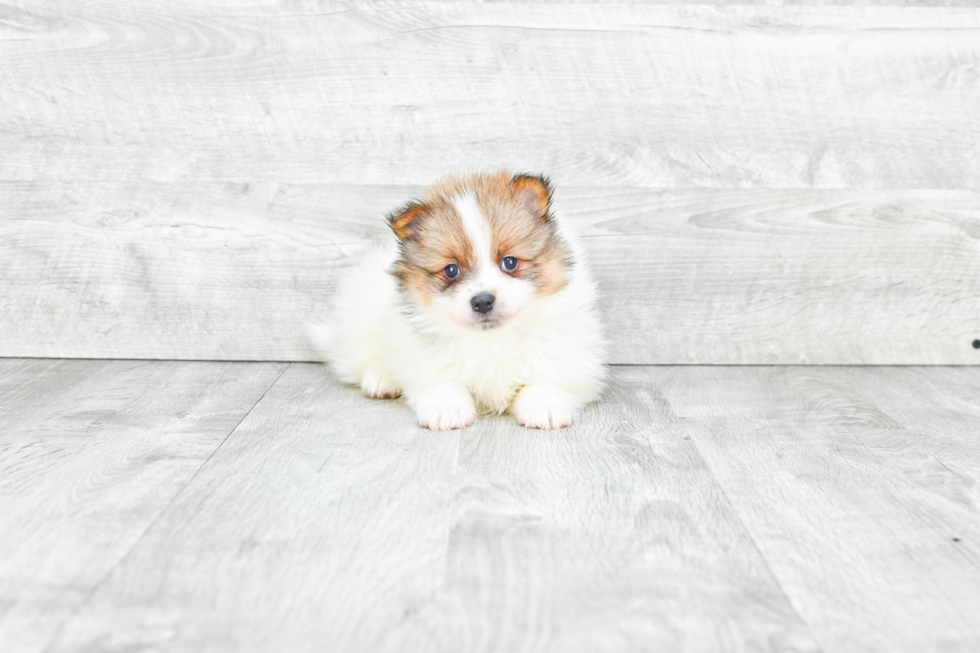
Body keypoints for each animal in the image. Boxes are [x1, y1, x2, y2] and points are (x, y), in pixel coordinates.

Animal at [310, 171, 608, 430]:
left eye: (510, 262)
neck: (491, 338)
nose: (483, 301)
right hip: (362, 310)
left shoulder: (561, 345)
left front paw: (543, 405)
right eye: (451, 270)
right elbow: (441, 378)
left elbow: (549, 376)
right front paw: (446, 408)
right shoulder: (424, 350)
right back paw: (381, 380)